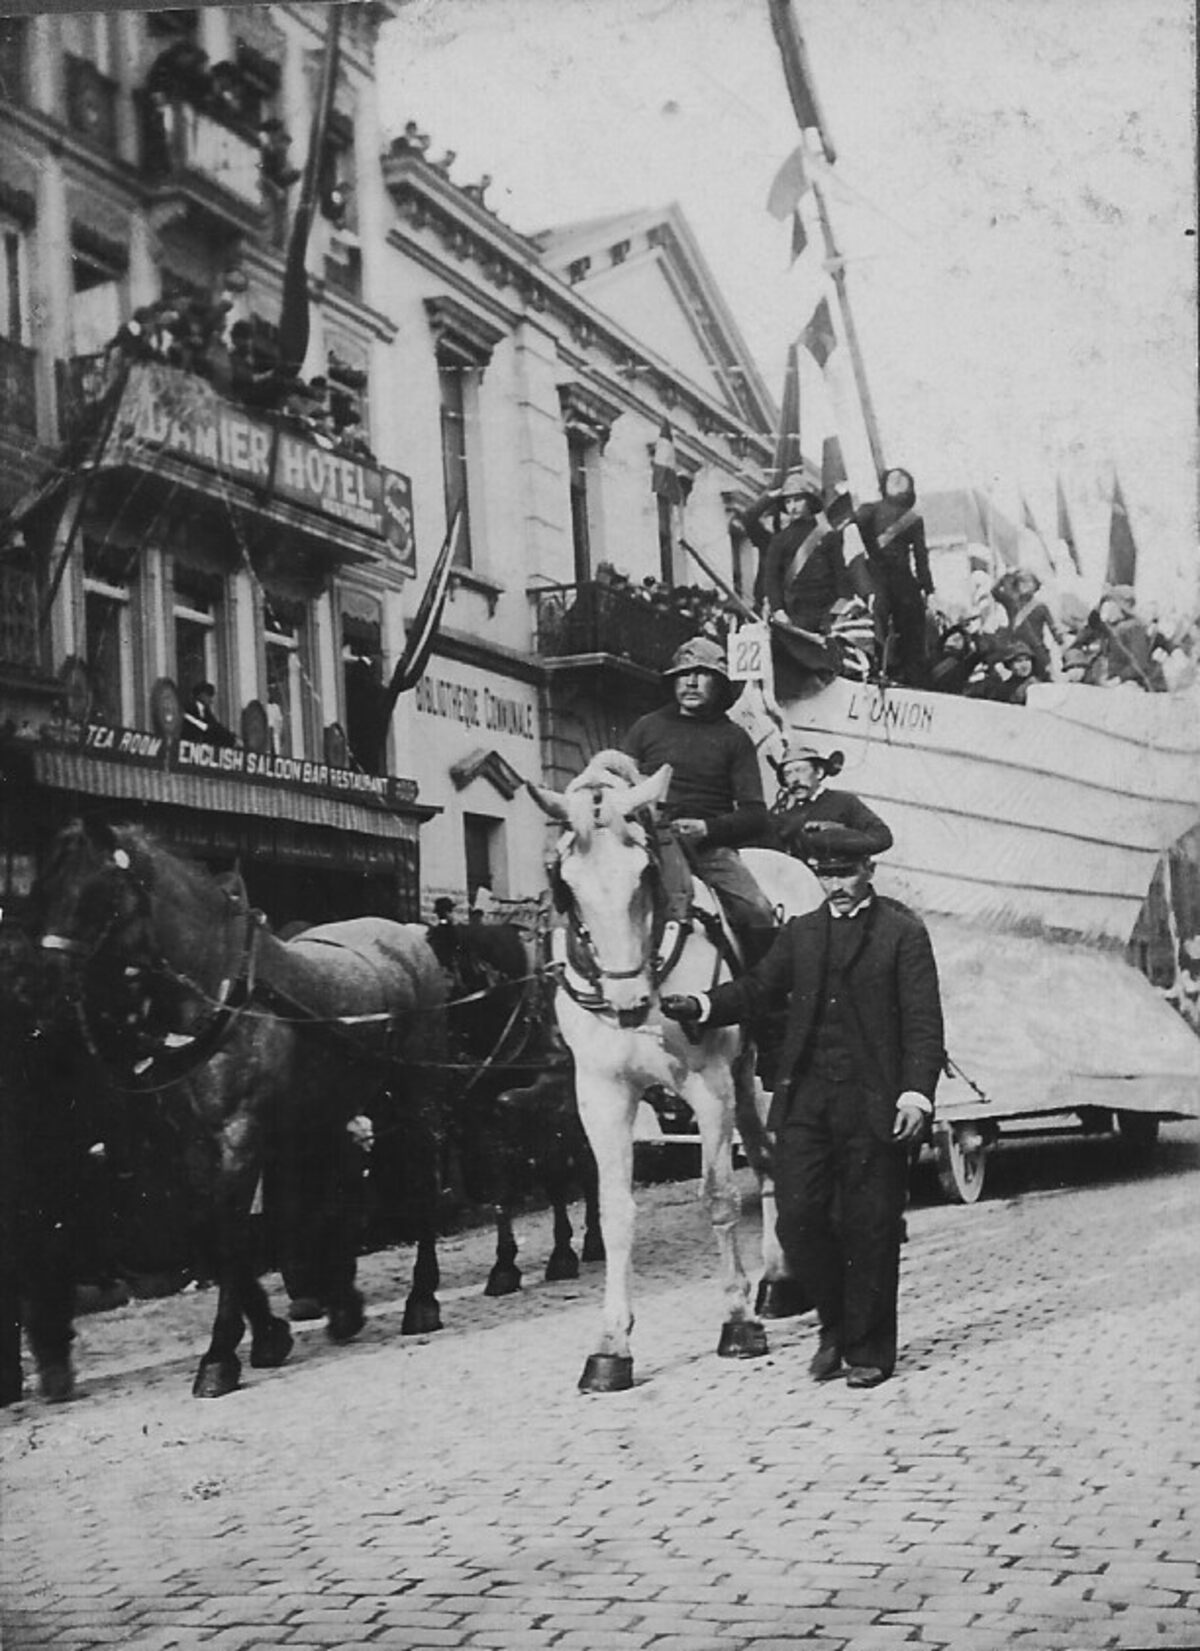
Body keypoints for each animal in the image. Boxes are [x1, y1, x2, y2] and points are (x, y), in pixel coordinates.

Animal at [31, 818, 449, 1400]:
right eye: (45, 890)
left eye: (98, 894)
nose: (40, 991)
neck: (219, 992)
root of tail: (410, 935)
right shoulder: (190, 1145)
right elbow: (212, 1229)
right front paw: (270, 1335)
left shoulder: (239, 1134)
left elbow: (230, 1236)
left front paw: (219, 1357)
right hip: (328, 1111)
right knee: (337, 1193)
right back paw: (343, 1306)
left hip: (414, 1095)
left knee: (419, 1180)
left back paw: (421, 1300)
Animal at [528, 751, 823, 1392]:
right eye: (566, 882)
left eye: (644, 871)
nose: (629, 1003)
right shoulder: (602, 1096)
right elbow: (615, 1212)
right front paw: (611, 1346)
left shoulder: (708, 1085)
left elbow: (717, 1196)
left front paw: (737, 1322)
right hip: (742, 1083)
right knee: (765, 1158)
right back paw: (778, 1281)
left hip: (761, 1077)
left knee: (775, 1157)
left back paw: (779, 1281)